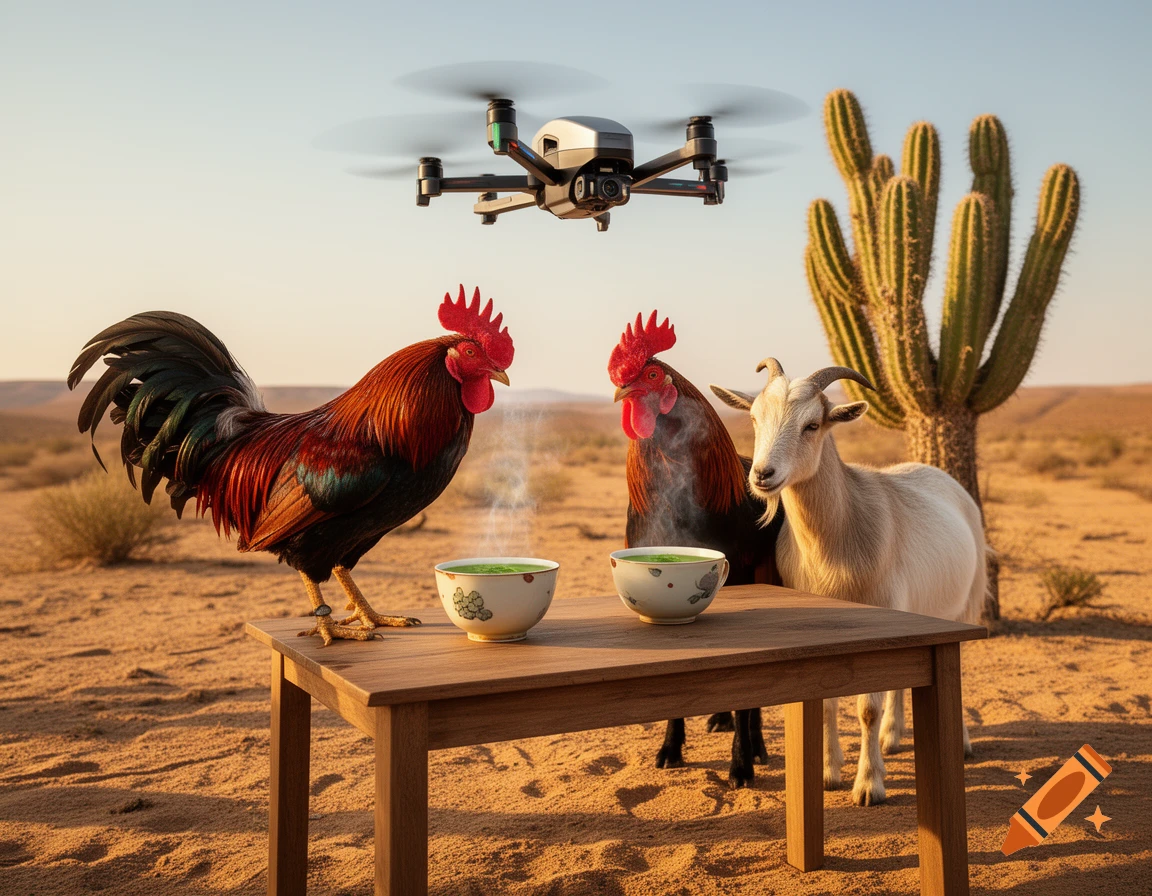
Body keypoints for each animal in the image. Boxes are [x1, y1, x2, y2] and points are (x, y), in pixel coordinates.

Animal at [711, 360, 984, 807]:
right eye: (753, 418)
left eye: (812, 424)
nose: (763, 474)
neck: (840, 533)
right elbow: (825, 704)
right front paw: (828, 773)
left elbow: (866, 709)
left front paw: (869, 785)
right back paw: (892, 737)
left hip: (966, 601)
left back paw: (958, 743)